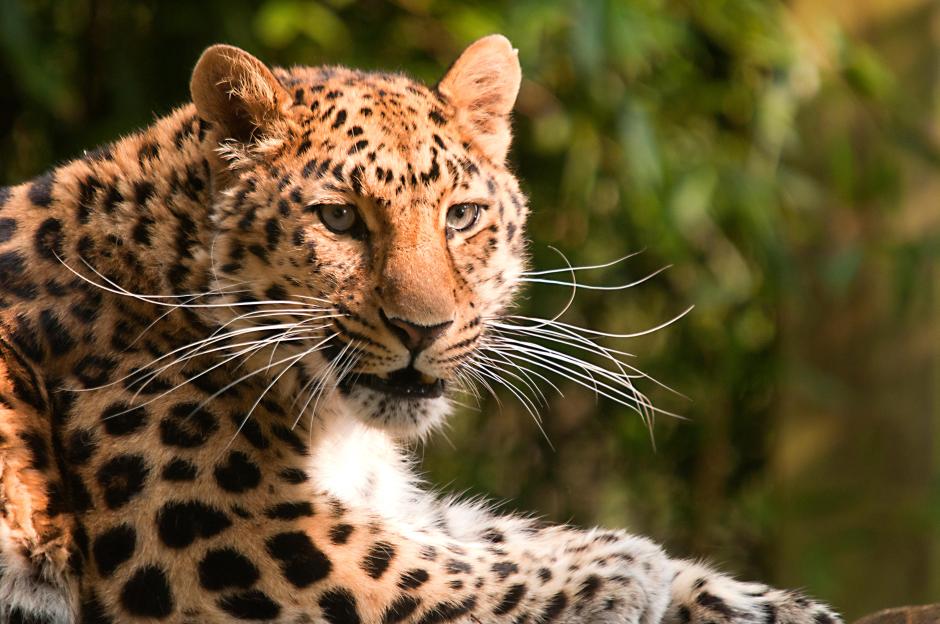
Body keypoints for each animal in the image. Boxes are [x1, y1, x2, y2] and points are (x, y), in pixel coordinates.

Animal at [0, 35, 844, 624]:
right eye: (339, 219)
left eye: (461, 217)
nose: (423, 329)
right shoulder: (212, 533)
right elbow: (423, 564)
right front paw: (623, 568)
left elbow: (476, 533)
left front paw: (752, 599)